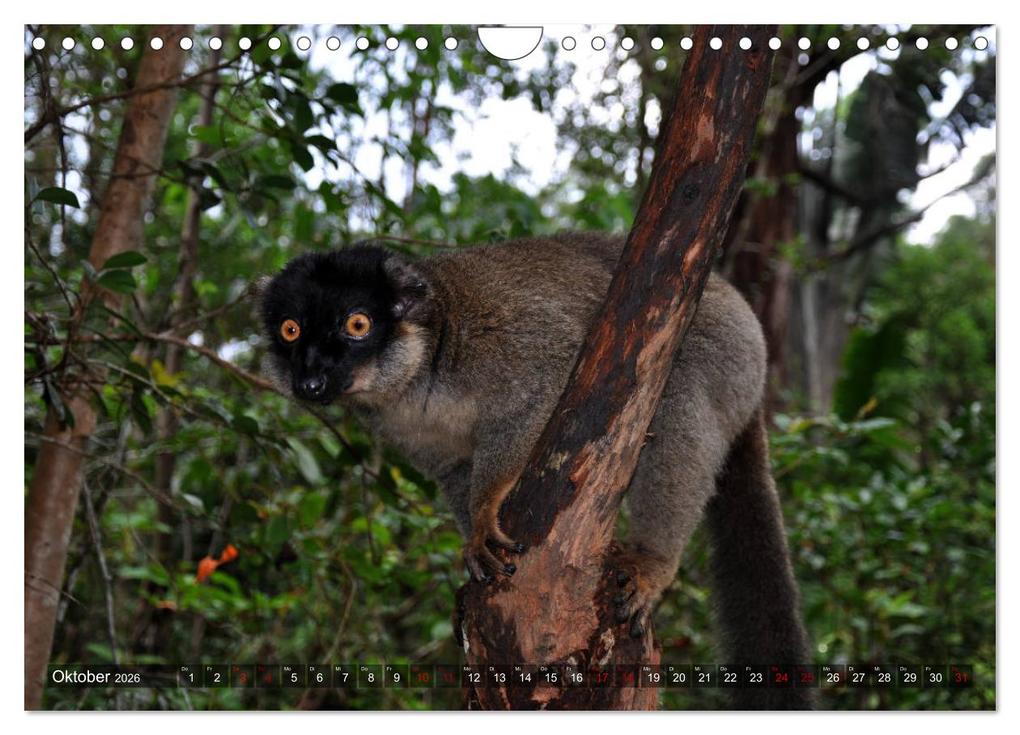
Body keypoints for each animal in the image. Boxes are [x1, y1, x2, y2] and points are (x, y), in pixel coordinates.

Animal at [258, 232, 812, 709]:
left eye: (357, 325)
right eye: (290, 331)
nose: (309, 380)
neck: (419, 377)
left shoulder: (498, 335)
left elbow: (551, 377)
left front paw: (486, 515)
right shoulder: (405, 430)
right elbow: (456, 470)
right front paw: (472, 571)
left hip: (726, 348)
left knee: (677, 399)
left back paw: (653, 561)